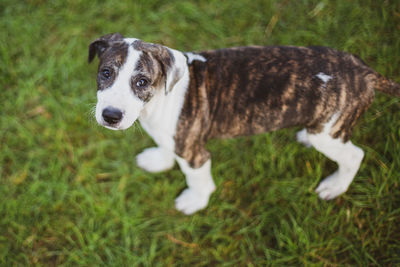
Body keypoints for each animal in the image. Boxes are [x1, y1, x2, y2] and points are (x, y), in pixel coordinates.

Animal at [88, 32, 400, 215]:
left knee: (354, 155)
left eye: (142, 82)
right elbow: (165, 147)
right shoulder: (171, 136)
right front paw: (159, 160)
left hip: (330, 132)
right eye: (105, 73)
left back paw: (335, 186)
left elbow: (198, 179)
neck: (158, 100)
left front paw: (195, 201)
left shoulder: (194, 153)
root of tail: (364, 71)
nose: (111, 115)